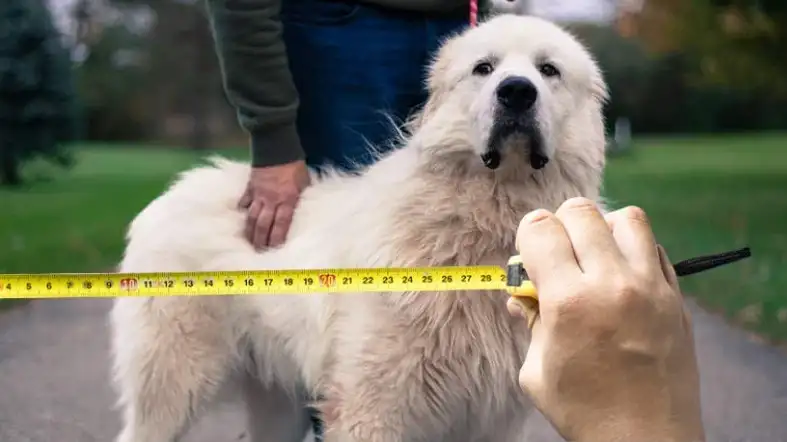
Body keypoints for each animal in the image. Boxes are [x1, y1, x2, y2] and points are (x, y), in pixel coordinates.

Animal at [109, 13, 608, 442]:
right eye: (484, 68)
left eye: (548, 70)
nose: (517, 92)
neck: (479, 220)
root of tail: (175, 189)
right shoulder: (372, 409)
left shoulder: (491, 418)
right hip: (173, 388)